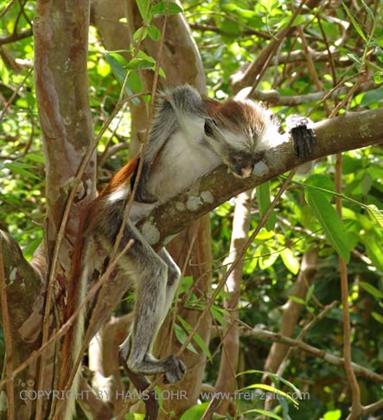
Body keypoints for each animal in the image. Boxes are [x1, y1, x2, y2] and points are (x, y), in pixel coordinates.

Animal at [57, 85, 316, 416]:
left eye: (255, 157)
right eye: (238, 156)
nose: (245, 170)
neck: (210, 151)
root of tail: (93, 208)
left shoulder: (268, 152)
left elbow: (295, 161)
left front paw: (299, 128)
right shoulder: (198, 115)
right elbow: (177, 96)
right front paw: (142, 174)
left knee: (169, 273)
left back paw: (131, 357)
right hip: (113, 225)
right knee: (154, 270)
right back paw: (137, 361)